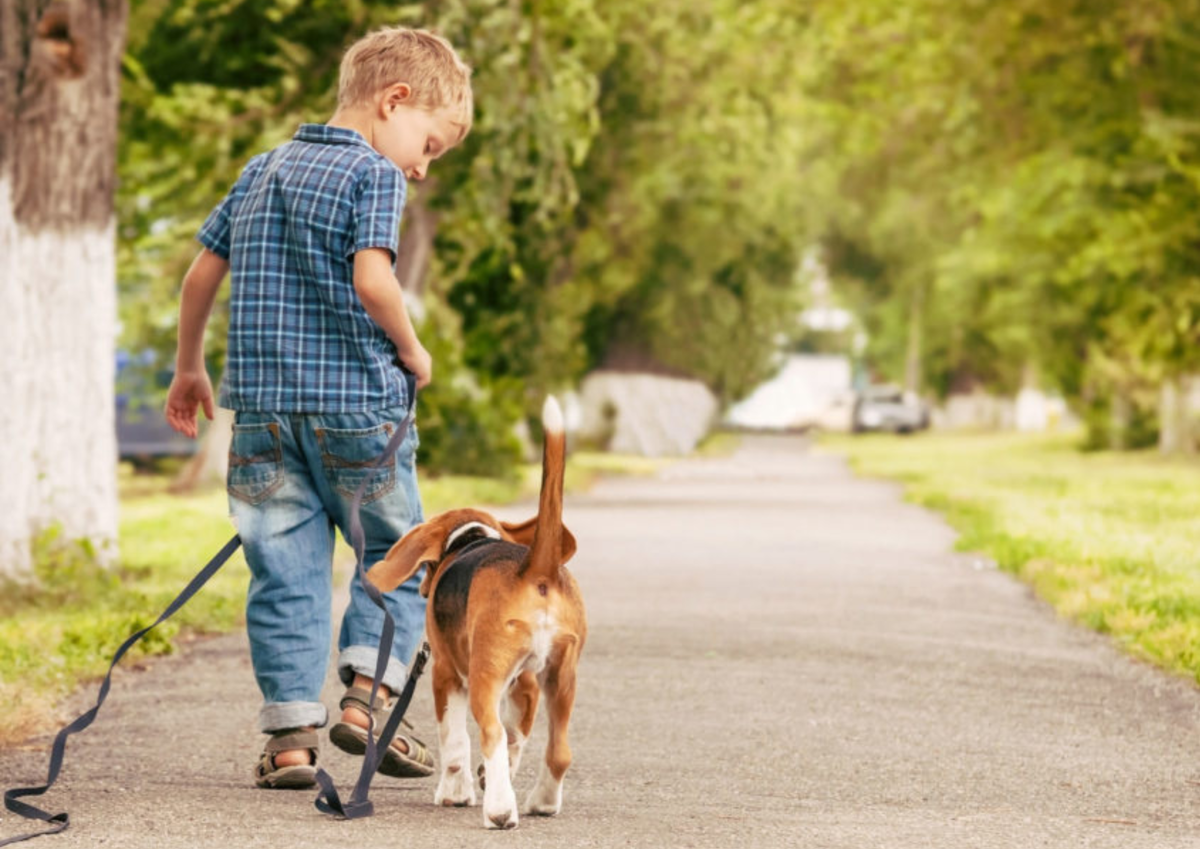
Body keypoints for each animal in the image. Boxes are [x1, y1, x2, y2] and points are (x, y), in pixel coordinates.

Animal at [369, 398, 585, 829]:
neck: (470, 539)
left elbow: (455, 742)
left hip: (484, 674)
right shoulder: (525, 683)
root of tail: (535, 569)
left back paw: (500, 810)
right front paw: (487, 777)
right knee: (558, 751)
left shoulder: (444, 674)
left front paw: (455, 793)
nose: (424, 587)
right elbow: (517, 738)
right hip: (561, 677)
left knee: (490, 732)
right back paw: (541, 802)